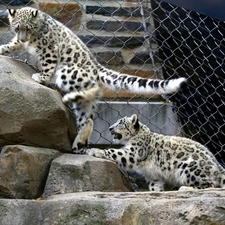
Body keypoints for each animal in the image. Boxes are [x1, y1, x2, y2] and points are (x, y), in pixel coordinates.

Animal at [0, 7, 187, 155]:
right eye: (17, 28)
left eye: (29, 28)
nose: (23, 38)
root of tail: (96, 67)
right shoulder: (19, 41)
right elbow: (11, 44)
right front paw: (3, 48)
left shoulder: (49, 50)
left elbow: (47, 65)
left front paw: (41, 77)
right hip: (83, 104)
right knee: (87, 119)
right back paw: (78, 143)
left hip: (67, 72)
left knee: (94, 88)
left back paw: (68, 99)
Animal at [87, 114, 225, 192]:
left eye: (121, 122)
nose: (110, 128)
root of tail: (217, 164)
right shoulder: (153, 175)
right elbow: (154, 185)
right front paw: (157, 192)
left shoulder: (134, 152)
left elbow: (114, 152)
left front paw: (94, 150)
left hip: (189, 167)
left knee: (210, 185)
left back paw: (185, 188)